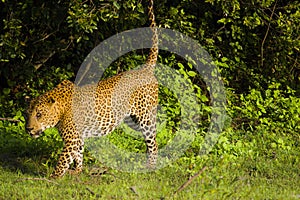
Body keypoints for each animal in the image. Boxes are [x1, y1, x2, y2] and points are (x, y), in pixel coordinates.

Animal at [25, 0, 159, 178]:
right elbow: (78, 153)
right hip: (132, 119)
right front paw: (78, 170)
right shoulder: (78, 137)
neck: (60, 108)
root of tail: (145, 69)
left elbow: (63, 160)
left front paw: (52, 178)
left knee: (153, 142)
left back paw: (151, 167)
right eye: (27, 114)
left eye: (39, 114)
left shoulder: (71, 139)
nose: (28, 129)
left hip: (146, 117)